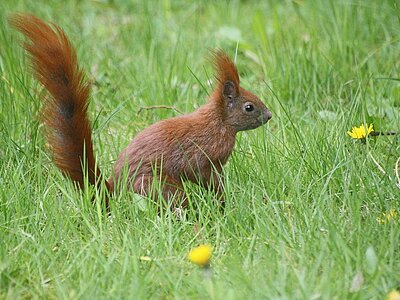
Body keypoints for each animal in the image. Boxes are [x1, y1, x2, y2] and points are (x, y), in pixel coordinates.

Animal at [10, 14, 272, 211]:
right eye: (249, 107)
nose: (269, 116)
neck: (218, 123)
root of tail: (114, 193)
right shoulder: (203, 158)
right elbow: (205, 177)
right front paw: (222, 200)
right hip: (158, 186)